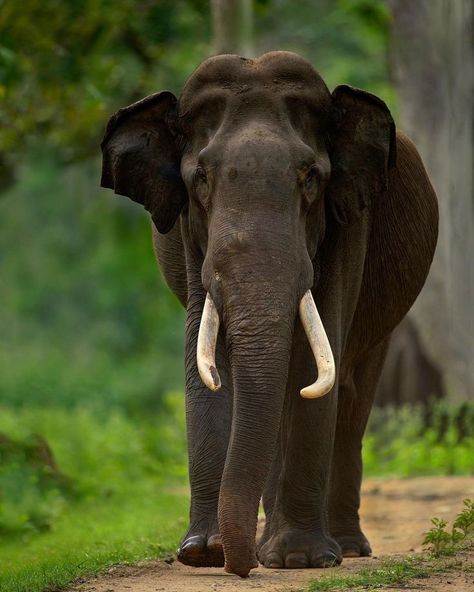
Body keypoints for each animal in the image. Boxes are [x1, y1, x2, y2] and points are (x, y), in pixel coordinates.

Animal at [99, 52, 436, 580]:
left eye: (312, 178)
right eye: (200, 178)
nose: (239, 568)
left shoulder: (348, 220)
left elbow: (313, 360)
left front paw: (300, 560)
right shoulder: (189, 232)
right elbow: (205, 358)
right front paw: (203, 553)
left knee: (353, 396)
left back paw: (343, 548)